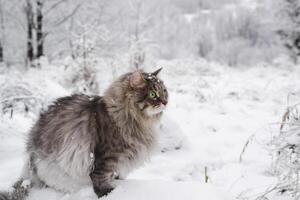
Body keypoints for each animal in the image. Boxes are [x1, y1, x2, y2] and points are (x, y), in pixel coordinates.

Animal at [0, 68, 169, 199]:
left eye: (164, 92)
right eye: (153, 94)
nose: (165, 102)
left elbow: (116, 175)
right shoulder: (106, 157)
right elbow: (100, 179)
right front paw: (109, 194)